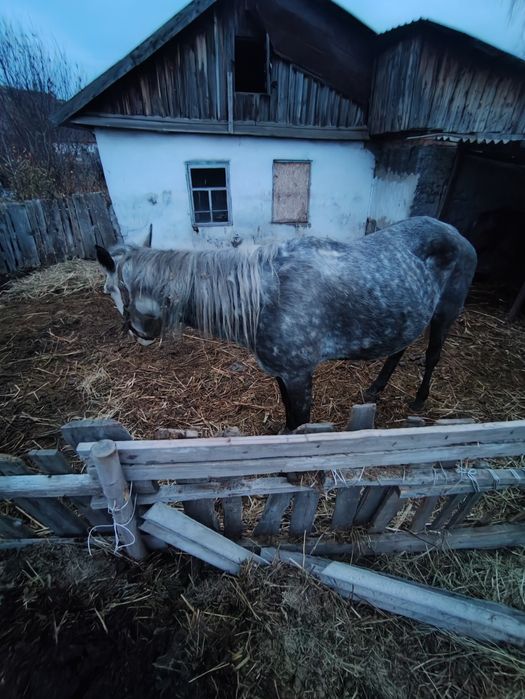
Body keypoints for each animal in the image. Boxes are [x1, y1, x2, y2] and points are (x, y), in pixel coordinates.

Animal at [95, 216, 477, 431]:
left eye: (111, 288)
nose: (140, 334)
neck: (265, 298)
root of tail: (457, 234)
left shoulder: (299, 375)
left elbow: (301, 424)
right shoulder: (281, 373)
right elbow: (289, 419)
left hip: (445, 312)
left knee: (432, 357)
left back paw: (419, 400)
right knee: (398, 350)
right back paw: (375, 388)